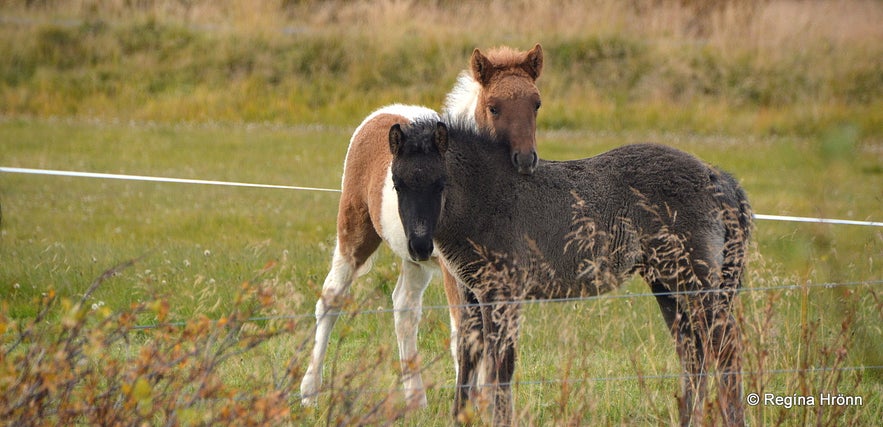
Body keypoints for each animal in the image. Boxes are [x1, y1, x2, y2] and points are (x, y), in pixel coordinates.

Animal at [300, 43, 544, 408]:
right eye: (494, 107)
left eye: (536, 104)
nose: (525, 160)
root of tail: (383, 113)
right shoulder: (454, 271)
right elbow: (465, 335)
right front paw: (474, 406)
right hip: (355, 232)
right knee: (330, 299)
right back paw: (309, 391)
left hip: (414, 256)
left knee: (404, 308)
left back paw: (415, 398)